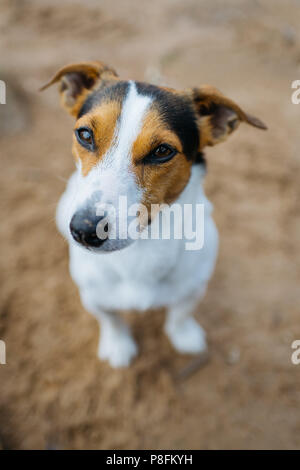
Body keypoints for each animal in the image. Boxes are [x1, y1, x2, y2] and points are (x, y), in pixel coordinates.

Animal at [40, 61, 268, 368]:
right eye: (85, 134)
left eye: (162, 151)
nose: (85, 229)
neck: (142, 246)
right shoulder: (93, 296)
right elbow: (111, 320)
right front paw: (118, 345)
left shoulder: (194, 287)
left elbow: (180, 313)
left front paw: (184, 335)